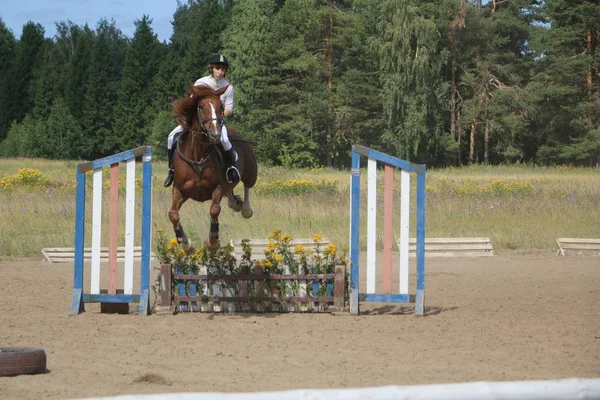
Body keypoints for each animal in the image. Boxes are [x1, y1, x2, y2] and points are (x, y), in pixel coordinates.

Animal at [168, 83, 256, 253]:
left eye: (220, 107)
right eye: (201, 107)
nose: (215, 135)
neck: (197, 155)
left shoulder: (218, 188)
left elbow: (214, 210)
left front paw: (213, 242)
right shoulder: (179, 190)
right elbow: (173, 214)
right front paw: (186, 244)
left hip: (250, 172)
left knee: (247, 186)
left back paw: (246, 209)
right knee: (231, 194)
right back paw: (235, 204)